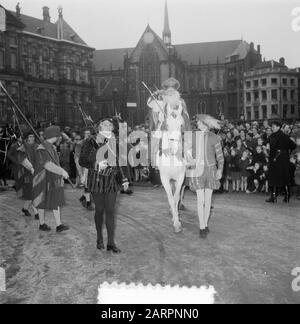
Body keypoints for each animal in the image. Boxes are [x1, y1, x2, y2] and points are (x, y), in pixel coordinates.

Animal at [148, 88, 192, 233]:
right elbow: (170, 198)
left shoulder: (180, 176)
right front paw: (175, 220)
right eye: (166, 125)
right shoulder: (164, 178)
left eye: (181, 125)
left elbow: (176, 197)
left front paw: (177, 221)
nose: (174, 149)